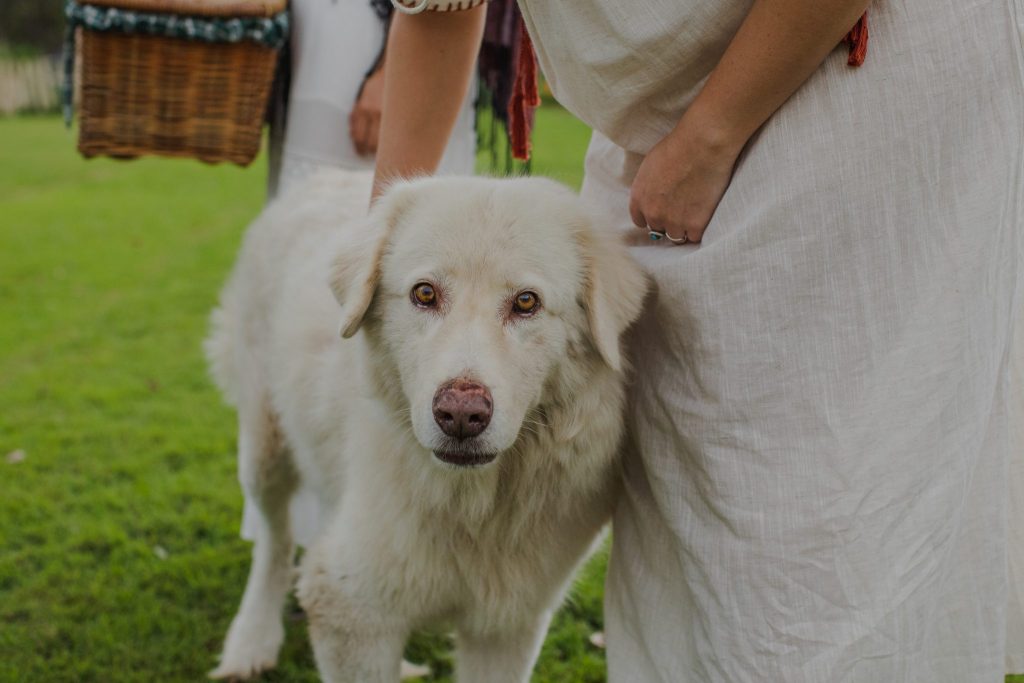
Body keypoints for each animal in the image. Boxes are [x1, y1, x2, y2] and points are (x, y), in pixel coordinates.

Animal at [203, 169, 643, 679]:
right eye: (425, 294)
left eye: (526, 302)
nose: (460, 415)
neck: (476, 507)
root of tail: (328, 176)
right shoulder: (351, 609)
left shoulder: (508, 625)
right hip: (265, 449)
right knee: (274, 541)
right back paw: (251, 642)